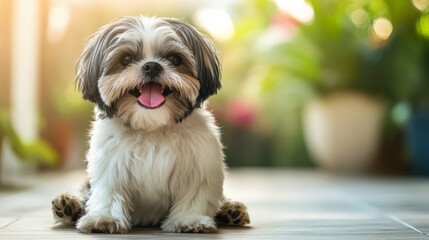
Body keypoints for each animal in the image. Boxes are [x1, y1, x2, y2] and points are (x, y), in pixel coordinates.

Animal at [51, 15, 251, 233]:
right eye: (126, 59)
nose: (152, 66)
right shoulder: (112, 167)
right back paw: (69, 207)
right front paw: (104, 218)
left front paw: (190, 220)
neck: (152, 127)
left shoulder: (198, 167)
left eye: (175, 59)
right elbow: (109, 193)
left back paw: (230, 211)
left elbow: (193, 196)